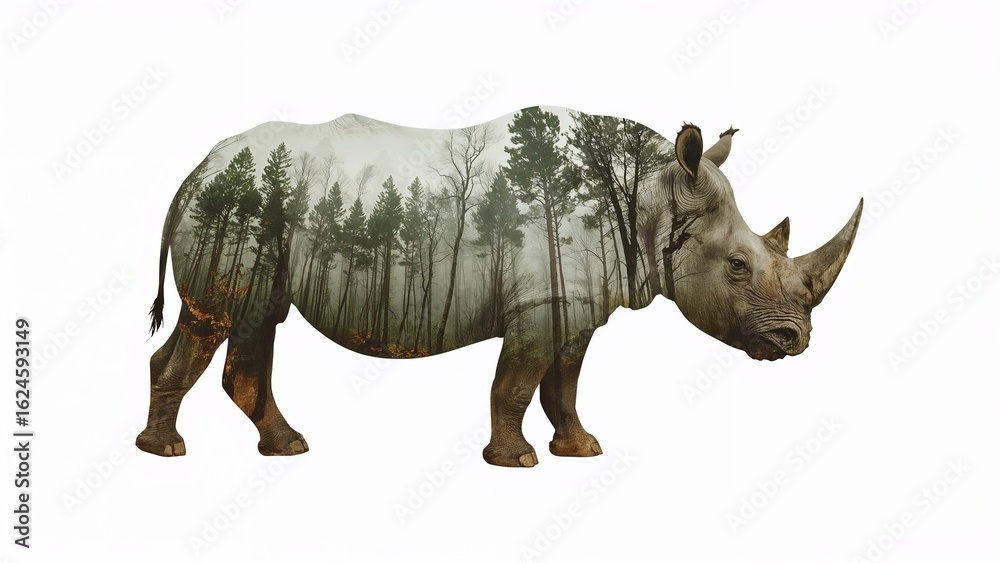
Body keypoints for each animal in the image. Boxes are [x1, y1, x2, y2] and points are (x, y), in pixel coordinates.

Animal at [137, 107, 861, 466]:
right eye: (737, 266)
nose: (795, 339)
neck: (651, 196)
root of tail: (193, 172)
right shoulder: (541, 303)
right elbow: (517, 381)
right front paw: (514, 461)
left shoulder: (575, 301)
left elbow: (564, 383)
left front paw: (581, 449)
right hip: (236, 209)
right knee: (218, 314)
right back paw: (167, 452)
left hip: (259, 209)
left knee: (257, 316)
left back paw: (285, 447)